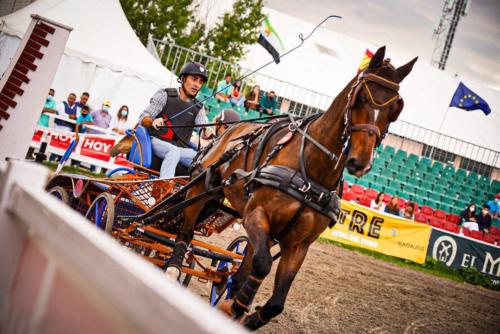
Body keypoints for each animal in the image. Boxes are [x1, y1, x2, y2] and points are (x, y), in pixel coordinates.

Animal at [166, 45, 416, 330]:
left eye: (395, 109)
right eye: (361, 97)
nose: (360, 162)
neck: (310, 173)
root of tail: (231, 129)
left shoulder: (299, 244)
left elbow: (276, 302)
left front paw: (245, 315)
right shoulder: (256, 214)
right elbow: (262, 265)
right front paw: (233, 307)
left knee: (241, 268)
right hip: (201, 188)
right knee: (186, 232)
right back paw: (174, 266)